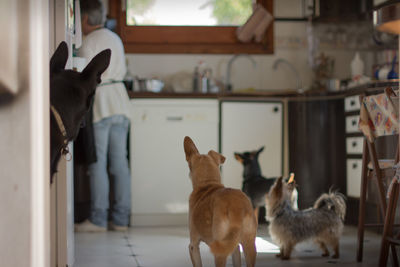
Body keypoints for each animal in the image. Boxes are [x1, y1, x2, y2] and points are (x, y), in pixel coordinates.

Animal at [184, 137, 256, 267]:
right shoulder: (235, 247)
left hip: (219, 251)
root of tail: (237, 208)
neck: (208, 184)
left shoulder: (193, 245)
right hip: (249, 245)